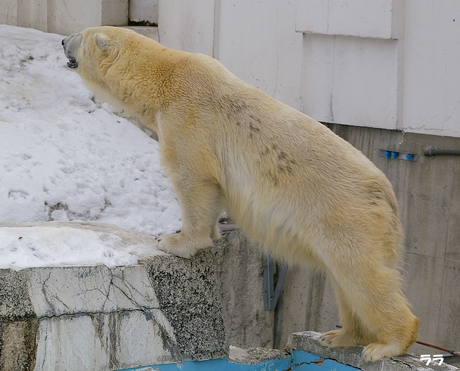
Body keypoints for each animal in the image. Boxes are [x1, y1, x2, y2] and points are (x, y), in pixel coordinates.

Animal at [63, 26, 418, 364]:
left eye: (81, 35)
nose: (63, 41)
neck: (165, 76)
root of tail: (388, 197)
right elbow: (213, 192)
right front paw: (210, 234)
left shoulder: (186, 117)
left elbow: (193, 177)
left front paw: (174, 241)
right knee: (345, 281)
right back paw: (338, 336)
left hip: (345, 216)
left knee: (362, 275)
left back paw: (387, 344)